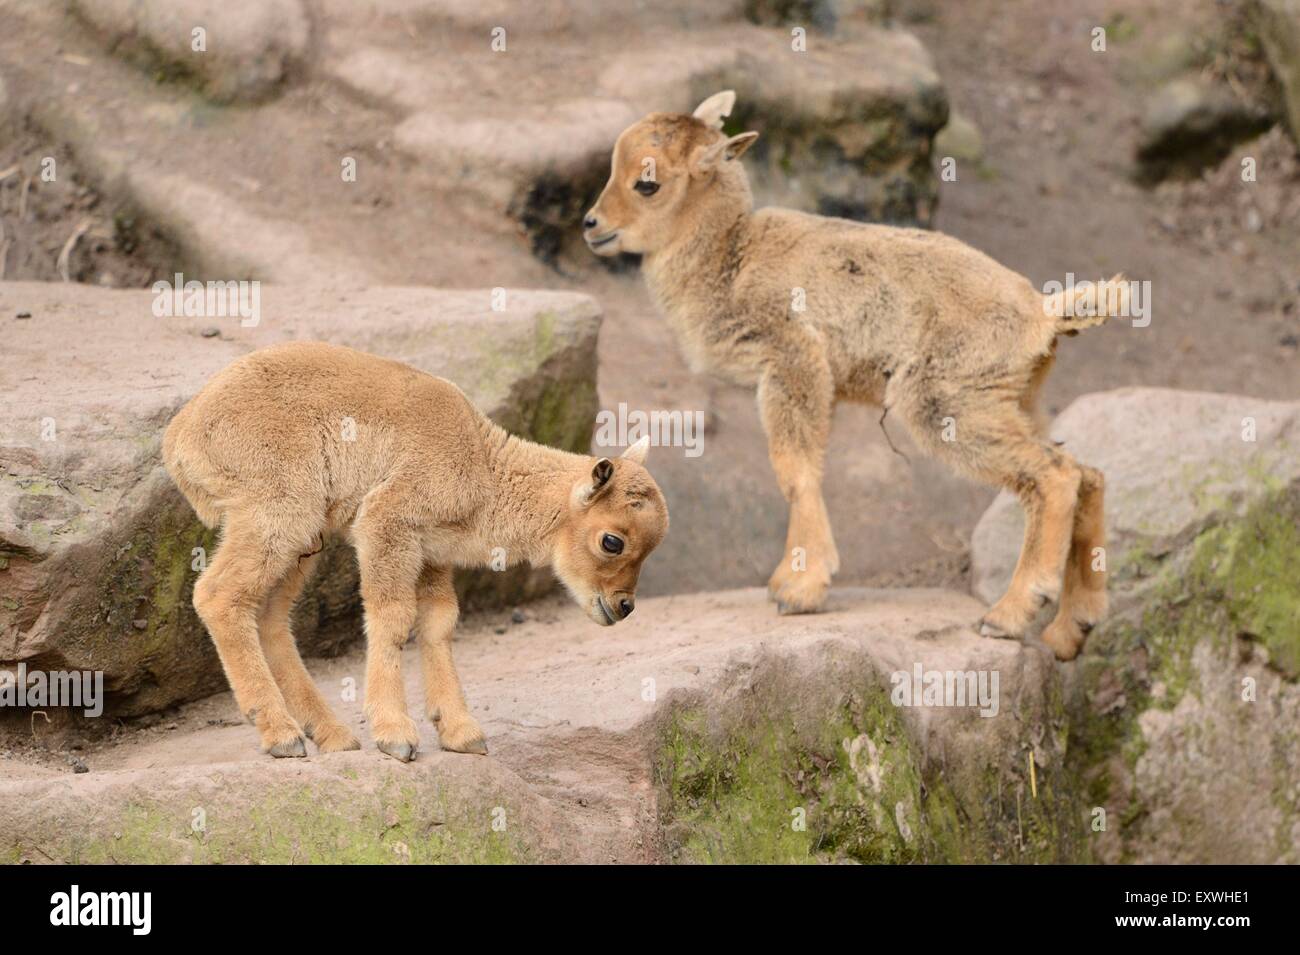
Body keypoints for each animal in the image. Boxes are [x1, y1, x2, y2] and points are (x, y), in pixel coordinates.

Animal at [166, 343, 665, 764]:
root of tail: (180, 438)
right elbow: (393, 618)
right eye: (612, 541)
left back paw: (332, 736)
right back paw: (282, 736)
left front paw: (462, 733)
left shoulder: (432, 555)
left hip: (302, 539)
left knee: (269, 615)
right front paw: (396, 737)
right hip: (277, 515)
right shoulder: (386, 525)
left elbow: (438, 624)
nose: (623, 606)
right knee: (218, 596)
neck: (482, 465)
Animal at [585, 91, 1123, 657]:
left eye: (647, 183)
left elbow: (795, 470)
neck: (732, 255)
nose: (592, 225)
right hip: (1013, 402)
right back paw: (1072, 628)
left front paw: (798, 589)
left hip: (948, 403)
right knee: (1086, 473)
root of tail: (1042, 313)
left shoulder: (794, 358)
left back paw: (1009, 615)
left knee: (1054, 476)